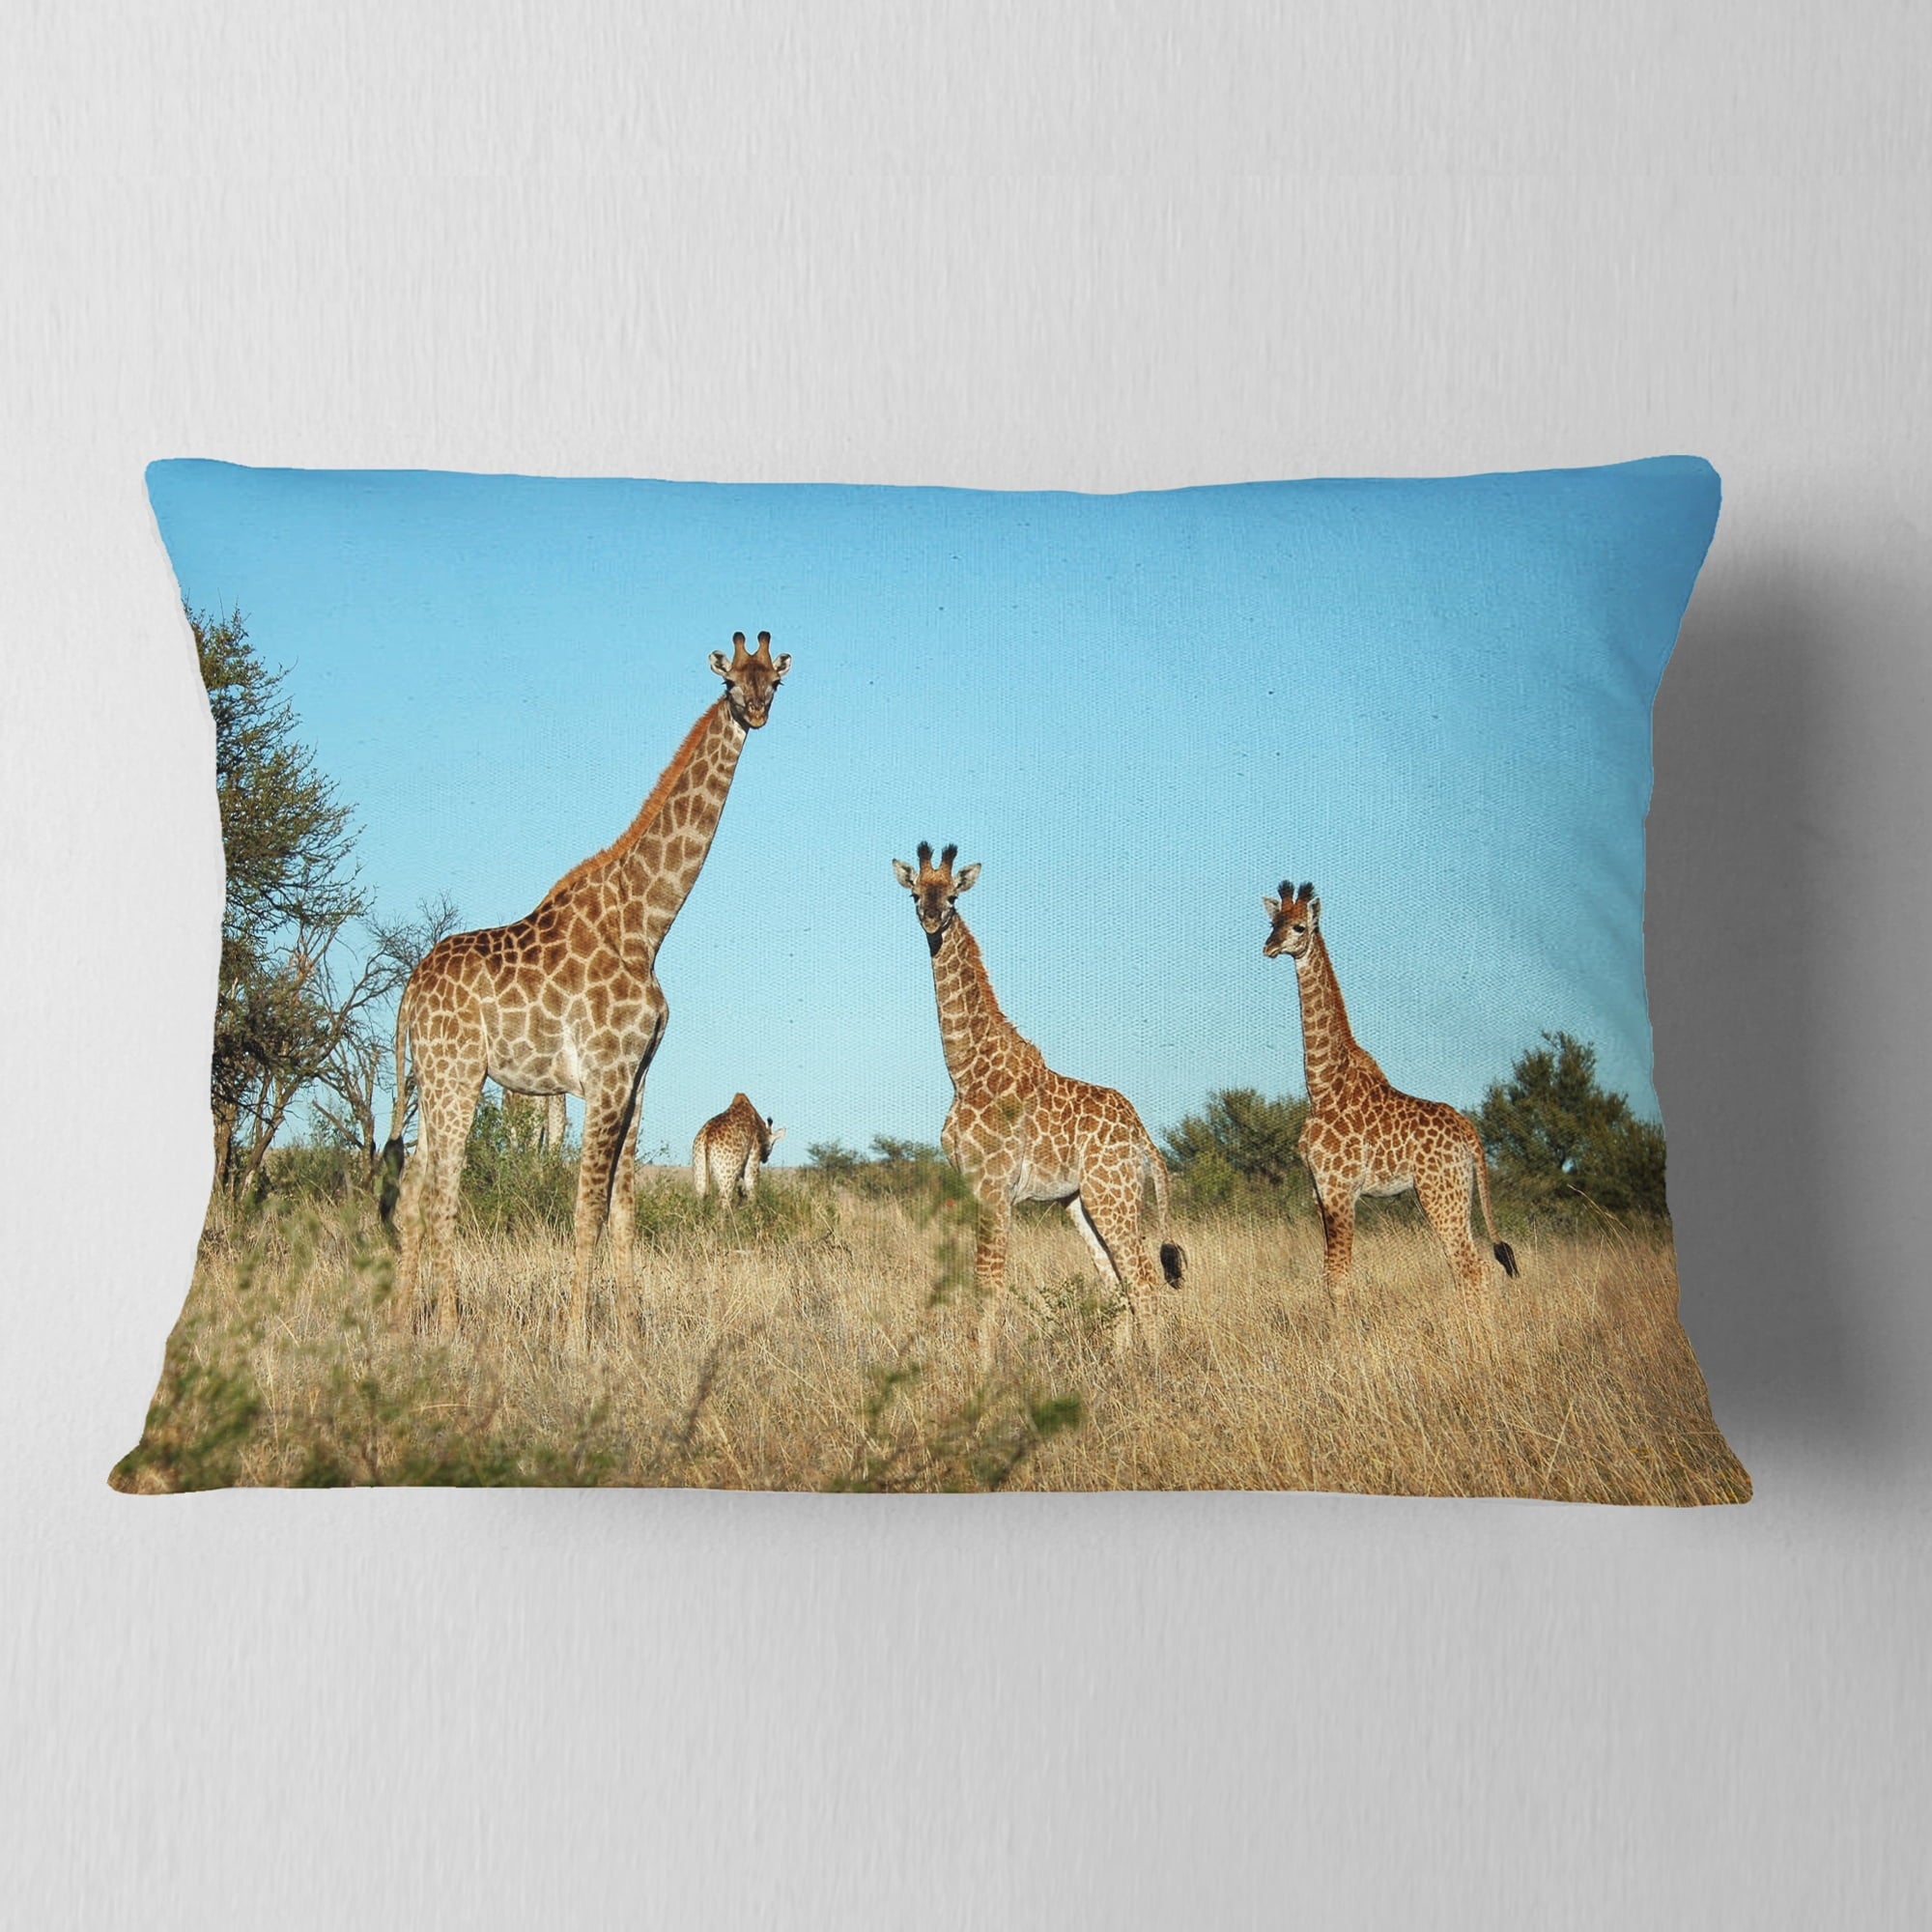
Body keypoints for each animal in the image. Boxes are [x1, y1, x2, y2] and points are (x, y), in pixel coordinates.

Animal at [383, 632, 790, 1342]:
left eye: (776, 681)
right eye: (730, 682)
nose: (758, 711)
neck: (648, 922)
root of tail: (410, 988)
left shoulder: (637, 1077)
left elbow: (624, 1213)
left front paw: (629, 1331)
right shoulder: (603, 1073)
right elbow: (587, 1210)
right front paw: (575, 1336)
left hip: (434, 1081)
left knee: (411, 1194)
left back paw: (404, 1322)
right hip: (459, 1076)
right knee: (441, 1195)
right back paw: (451, 1325)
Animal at [893, 843, 1184, 1365]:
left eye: (953, 897)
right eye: (914, 894)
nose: (930, 918)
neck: (965, 1072)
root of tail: (1144, 1138)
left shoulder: (993, 1188)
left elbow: (989, 1283)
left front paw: (982, 1371)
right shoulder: (975, 1187)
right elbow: (983, 1282)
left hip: (1114, 1196)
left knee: (1144, 1280)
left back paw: (1153, 1370)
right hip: (1081, 1203)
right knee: (1116, 1282)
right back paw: (1118, 1366)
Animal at [1261, 880, 1518, 1305]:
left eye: (1299, 927)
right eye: (1272, 922)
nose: (1268, 947)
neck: (1322, 1086)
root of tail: (1470, 1134)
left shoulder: (1340, 1189)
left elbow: (1338, 1278)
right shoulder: (1319, 1191)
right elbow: (1328, 1274)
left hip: (1440, 1191)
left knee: (1471, 1268)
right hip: (1455, 1192)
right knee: (1469, 1267)